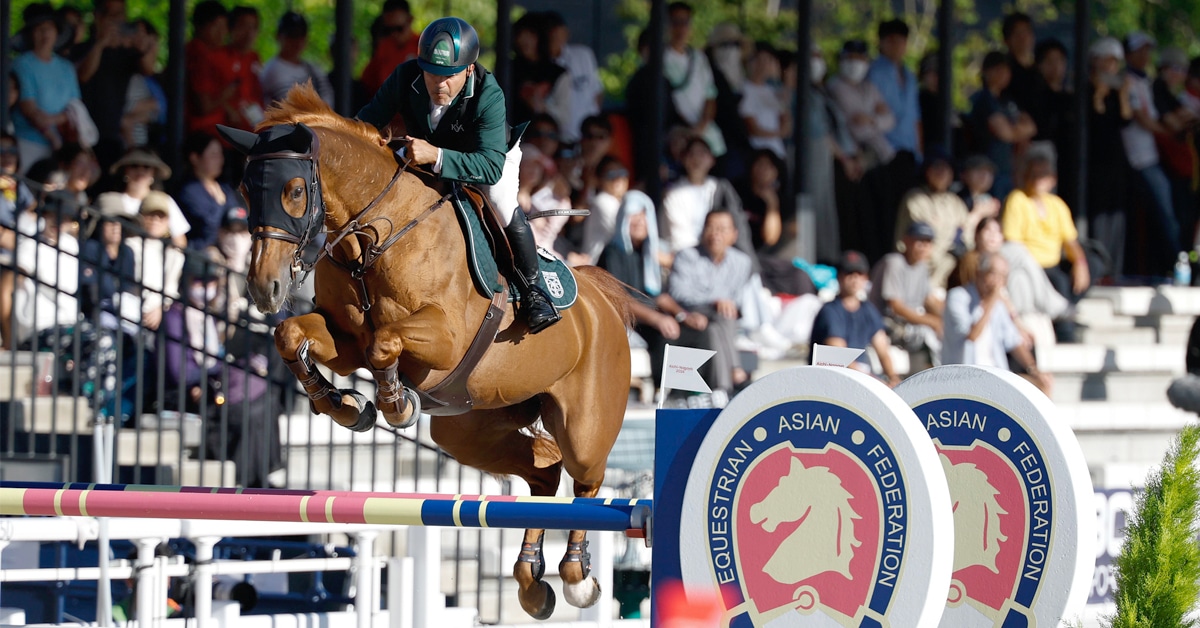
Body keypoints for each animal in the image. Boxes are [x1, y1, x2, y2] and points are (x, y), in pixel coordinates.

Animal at [217, 84, 633, 620]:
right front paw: (346, 406)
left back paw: (578, 577)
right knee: (544, 471)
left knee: (585, 481)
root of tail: (601, 299)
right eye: (246, 190)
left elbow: (384, 343)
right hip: (468, 430)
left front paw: (394, 403)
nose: (263, 289)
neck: (373, 239)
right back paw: (531, 583)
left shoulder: (444, 338)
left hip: (583, 425)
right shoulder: (343, 342)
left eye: (293, 190)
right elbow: (292, 335)